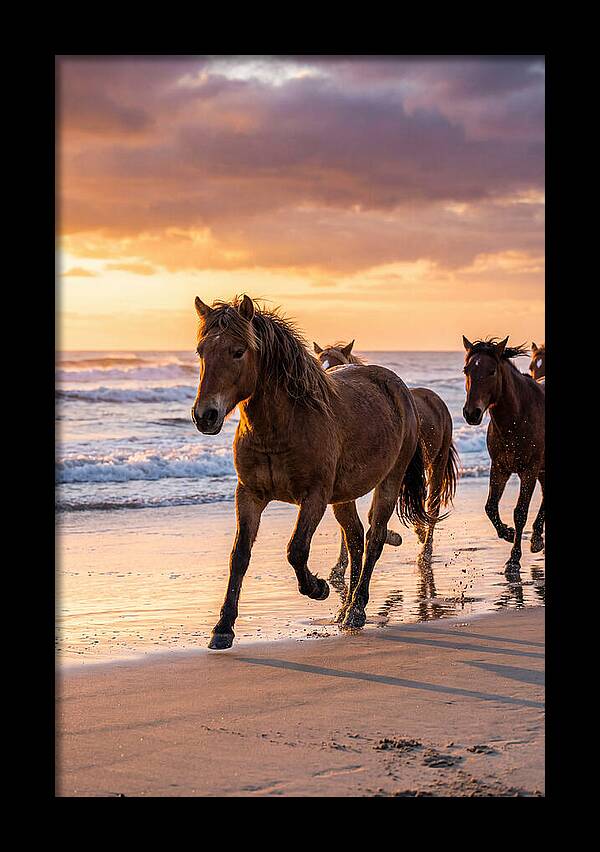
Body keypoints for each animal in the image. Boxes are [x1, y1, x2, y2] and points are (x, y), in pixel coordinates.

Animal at [192, 295, 433, 648]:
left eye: (238, 351)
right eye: (201, 351)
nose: (205, 416)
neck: (282, 425)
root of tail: (400, 388)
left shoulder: (314, 497)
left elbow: (296, 550)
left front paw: (318, 588)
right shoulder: (249, 494)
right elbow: (239, 556)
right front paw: (223, 628)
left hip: (388, 482)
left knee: (373, 538)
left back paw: (356, 609)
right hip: (343, 497)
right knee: (355, 539)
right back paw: (345, 610)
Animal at [313, 340, 459, 566]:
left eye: (337, 363)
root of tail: (435, 399)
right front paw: (340, 565)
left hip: (437, 464)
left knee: (432, 507)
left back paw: (425, 551)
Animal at [462, 336, 545, 572]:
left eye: (491, 371)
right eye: (466, 370)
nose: (471, 413)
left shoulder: (529, 470)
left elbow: (520, 512)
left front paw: (514, 559)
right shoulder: (499, 468)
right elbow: (490, 507)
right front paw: (507, 533)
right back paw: (537, 538)